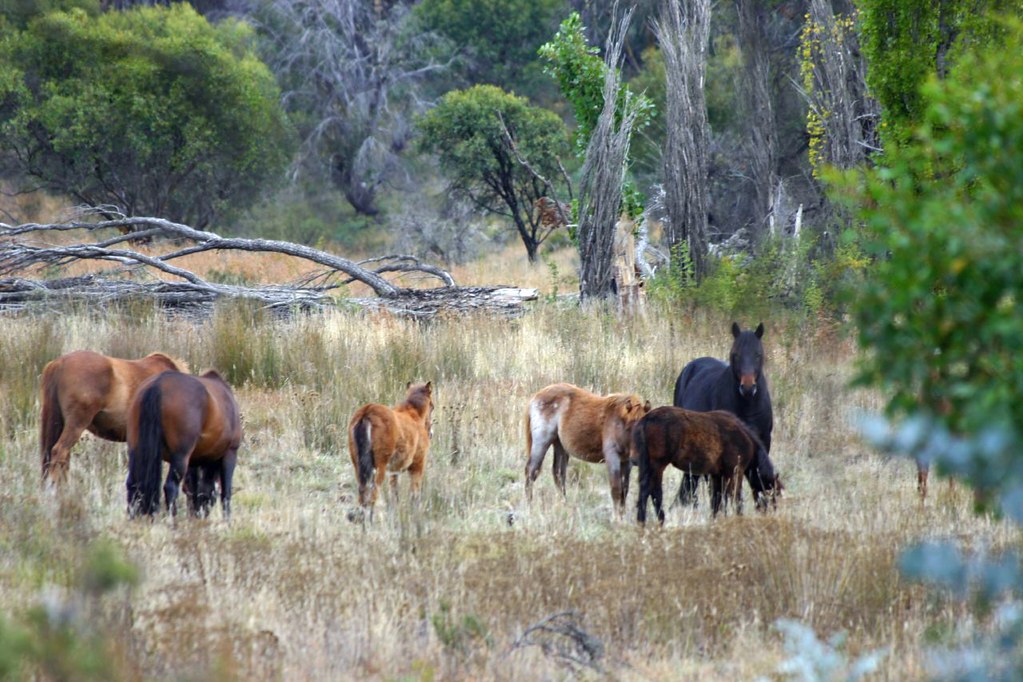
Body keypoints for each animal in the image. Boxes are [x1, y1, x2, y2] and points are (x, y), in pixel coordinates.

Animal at [126, 370, 242, 518]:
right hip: (180, 457)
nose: (201, 514)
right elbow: (226, 493)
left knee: (132, 484)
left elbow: (193, 488)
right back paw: (172, 519)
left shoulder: (195, 461)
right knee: (170, 486)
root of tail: (158, 384)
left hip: (136, 450)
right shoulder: (230, 453)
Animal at [348, 382, 434, 517]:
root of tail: (367, 411)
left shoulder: (394, 471)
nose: (431, 433)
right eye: (432, 406)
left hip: (358, 466)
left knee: (362, 495)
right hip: (379, 467)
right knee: (373, 495)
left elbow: (394, 494)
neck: (413, 414)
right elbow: (415, 494)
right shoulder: (418, 465)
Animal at [525, 383, 651, 514]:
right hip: (541, 442)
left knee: (558, 474)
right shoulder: (612, 457)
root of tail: (536, 396)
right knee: (531, 471)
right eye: (629, 428)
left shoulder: (626, 462)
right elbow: (616, 490)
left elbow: (624, 490)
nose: (637, 458)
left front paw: (622, 514)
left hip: (560, 445)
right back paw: (530, 506)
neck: (618, 422)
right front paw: (617, 517)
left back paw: (564, 506)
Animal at [634, 406, 781, 526]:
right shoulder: (734, 473)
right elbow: (736, 498)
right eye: (773, 493)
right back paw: (657, 520)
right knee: (653, 491)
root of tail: (646, 419)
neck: (746, 440)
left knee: (647, 490)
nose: (771, 516)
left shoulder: (717, 475)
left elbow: (716, 501)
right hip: (658, 465)